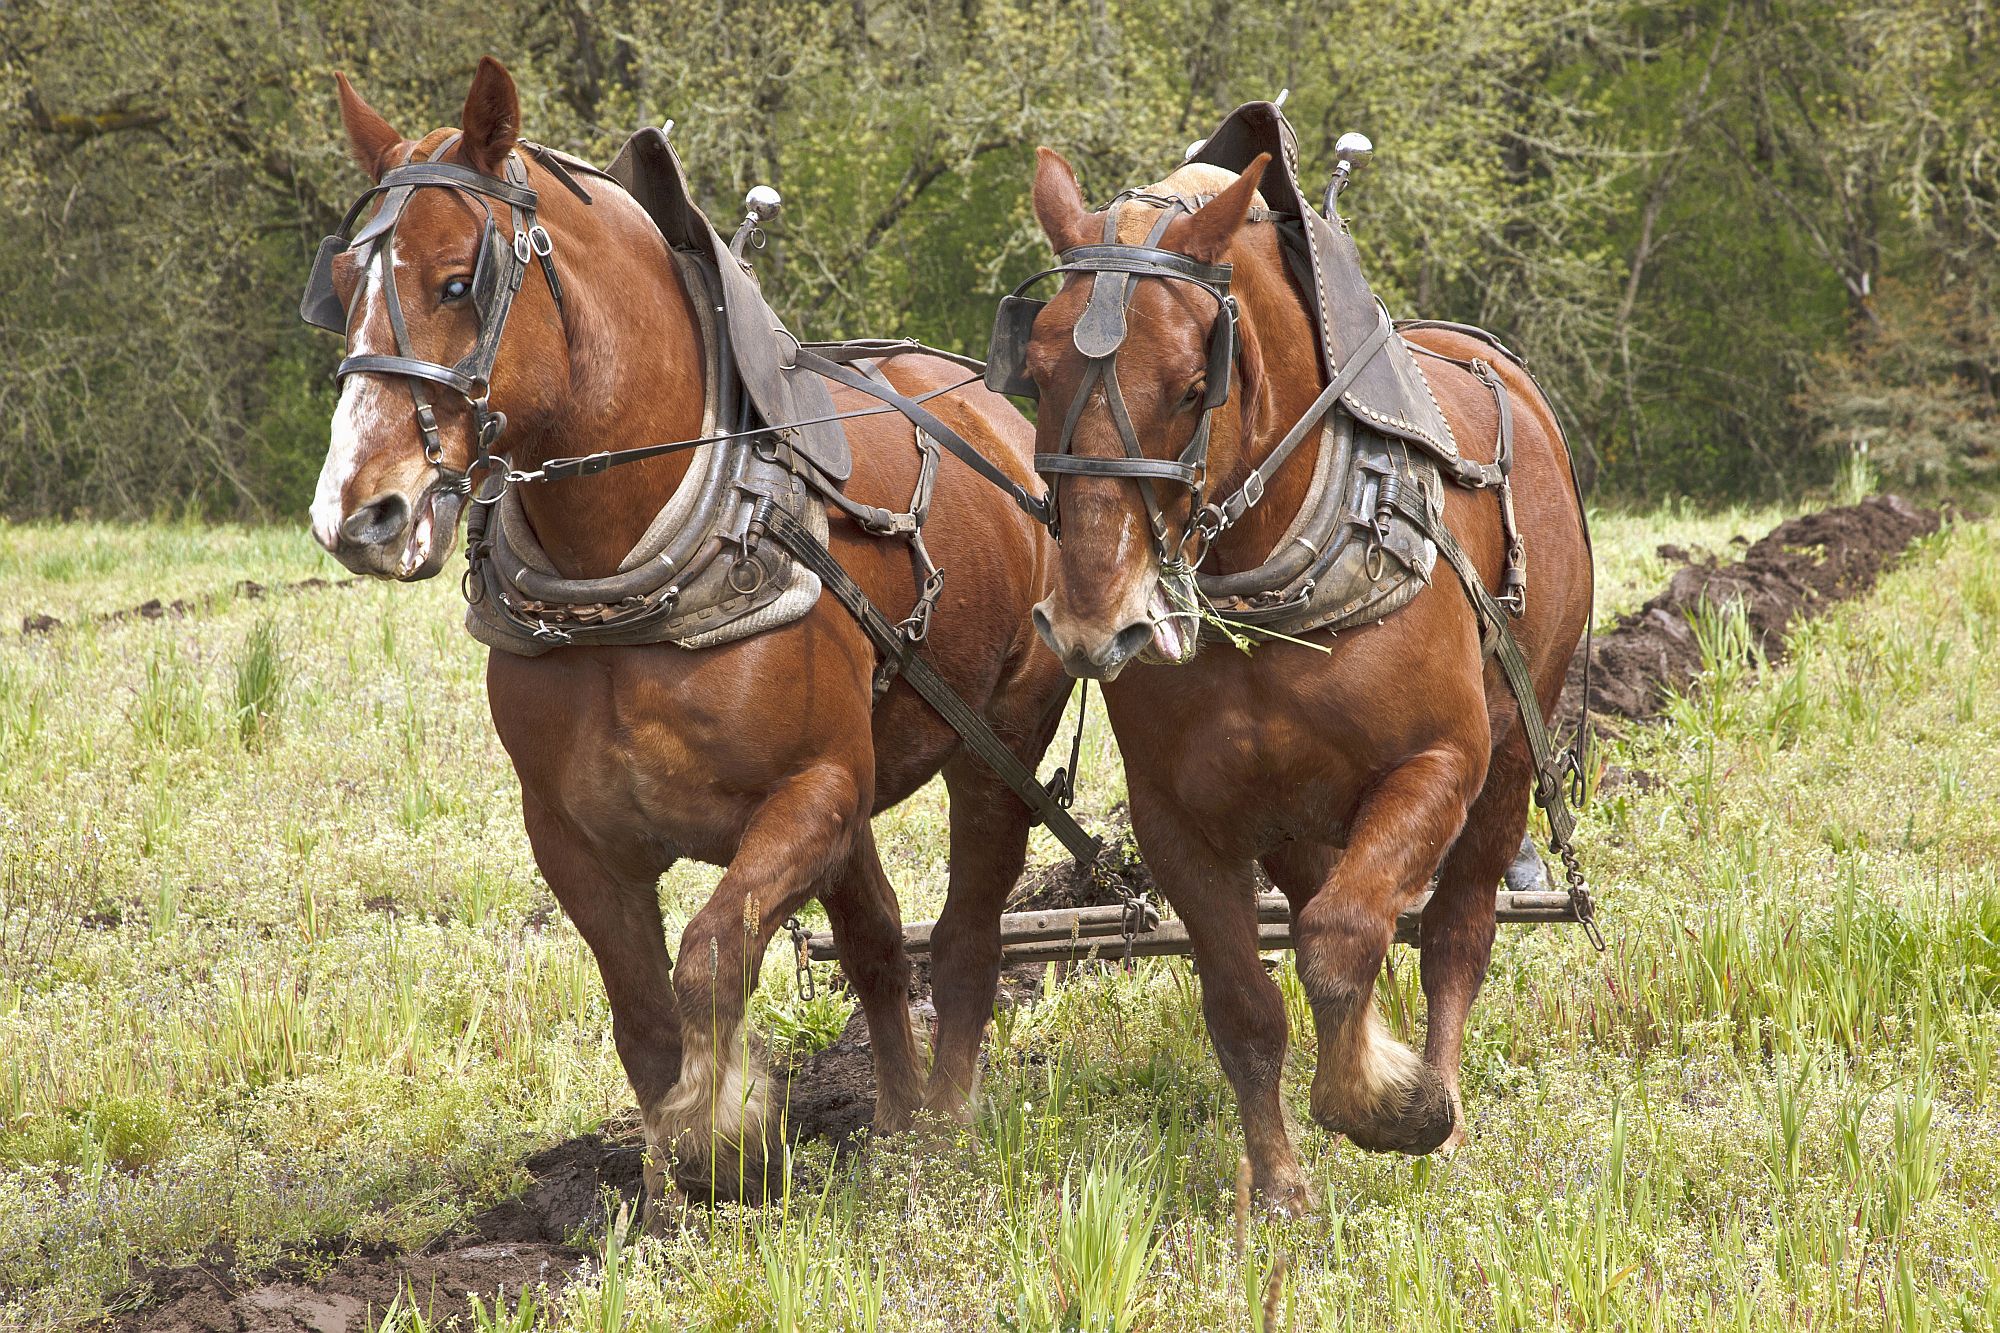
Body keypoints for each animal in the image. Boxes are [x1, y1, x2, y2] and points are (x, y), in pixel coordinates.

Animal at [304, 57, 1072, 1184]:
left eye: (456, 280)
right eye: (345, 286)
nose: (358, 512)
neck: (630, 579)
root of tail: (1001, 421)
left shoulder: (813, 792)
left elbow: (709, 956)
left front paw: (728, 1127)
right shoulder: (571, 835)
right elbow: (640, 1007)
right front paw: (675, 1158)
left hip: (997, 745)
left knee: (968, 927)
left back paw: (941, 1119)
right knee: (880, 940)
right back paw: (891, 1119)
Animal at [1024, 150, 1584, 1208]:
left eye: (1192, 381)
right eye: (1032, 371)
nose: (1092, 621)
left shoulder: (1439, 763)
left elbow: (1343, 937)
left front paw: (1391, 1102)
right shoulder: (1179, 820)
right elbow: (1246, 1001)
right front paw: (1280, 1183)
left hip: (1507, 763)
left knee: (1455, 932)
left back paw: (1441, 1095)